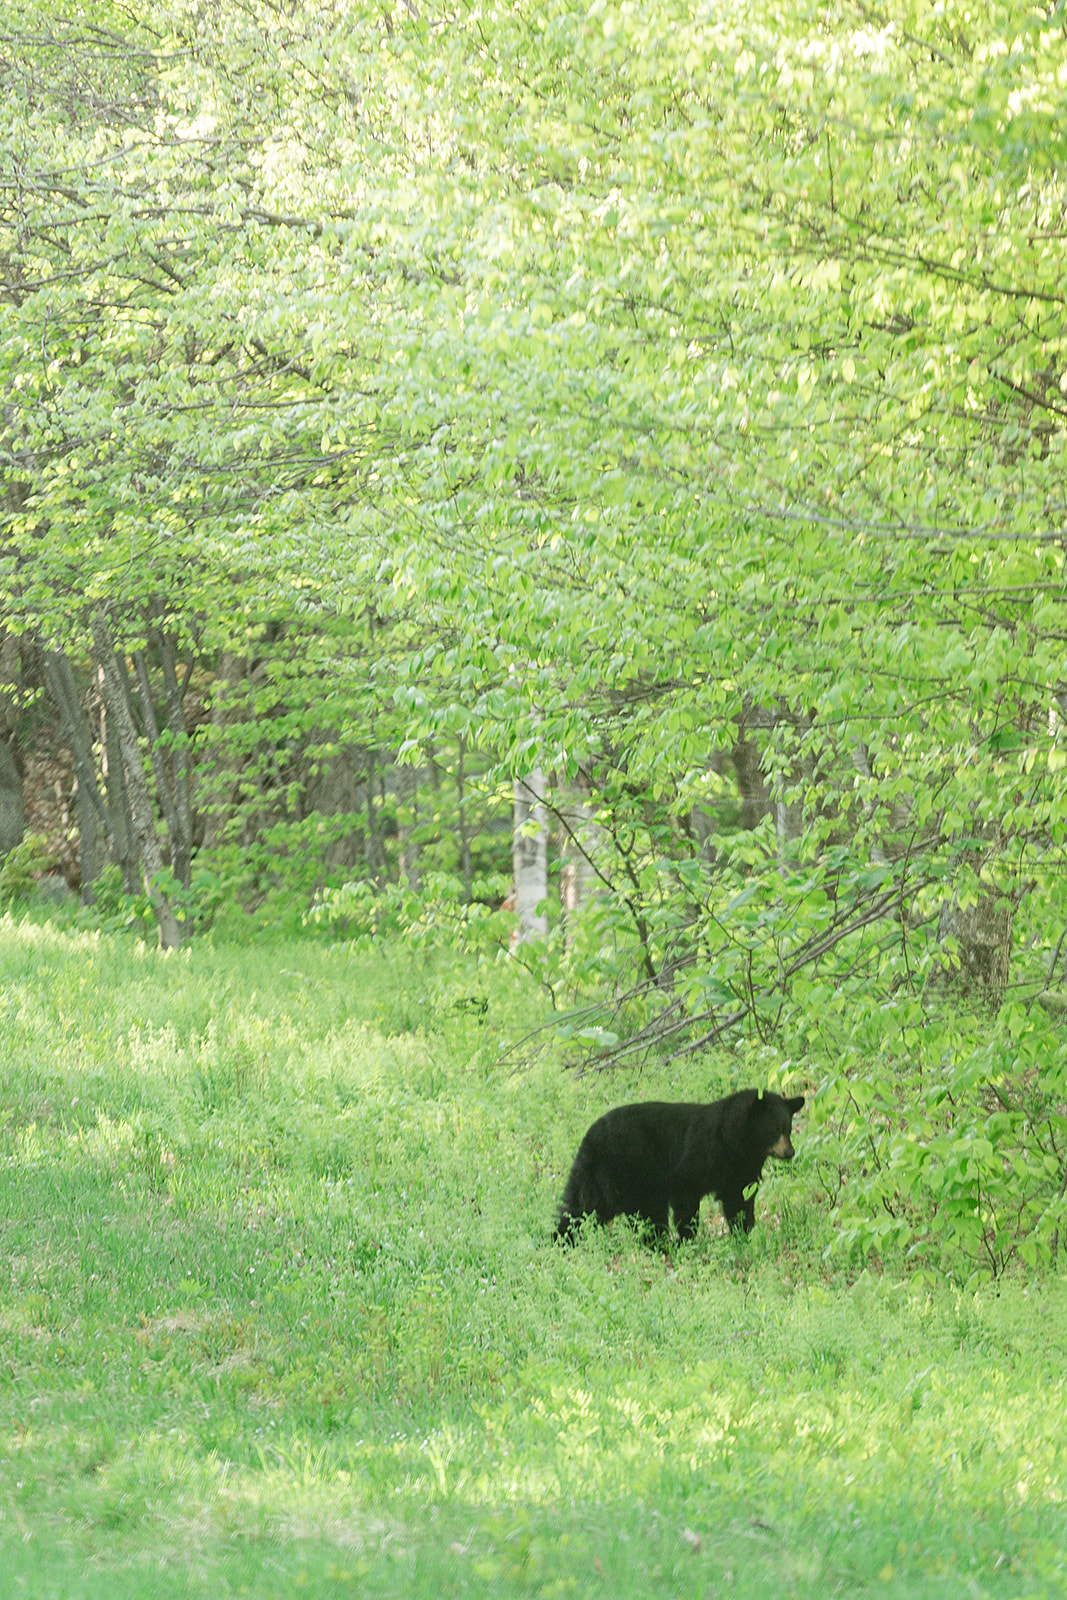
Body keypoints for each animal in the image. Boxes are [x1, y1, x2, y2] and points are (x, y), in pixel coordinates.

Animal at [553, 1088, 805, 1245]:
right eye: (775, 1129)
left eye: (788, 1128)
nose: (789, 1152)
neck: (735, 1143)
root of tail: (589, 1134)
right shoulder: (696, 1161)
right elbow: (686, 1198)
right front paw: (687, 1237)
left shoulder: (739, 1171)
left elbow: (739, 1201)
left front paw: (743, 1233)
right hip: (618, 1172)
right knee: (592, 1207)